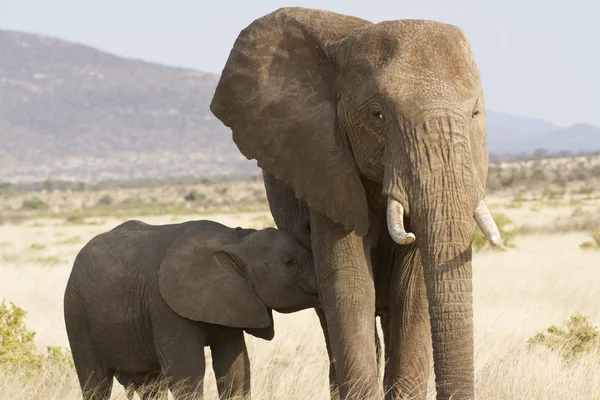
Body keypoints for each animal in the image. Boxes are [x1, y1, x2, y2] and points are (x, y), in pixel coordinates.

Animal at [63, 219, 318, 400]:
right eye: (289, 262)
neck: (236, 240)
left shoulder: (232, 300)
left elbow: (234, 368)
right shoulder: (165, 307)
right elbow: (186, 372)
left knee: (151, 385)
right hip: (76, 312)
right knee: (95, 383)